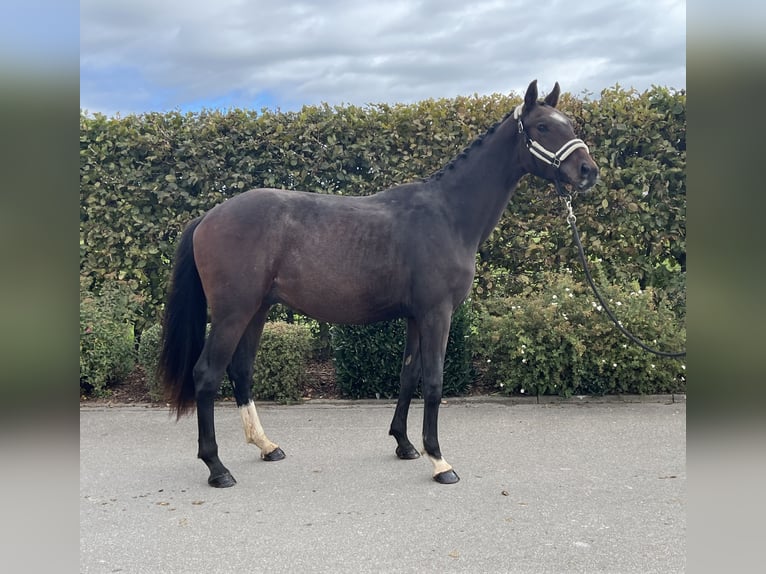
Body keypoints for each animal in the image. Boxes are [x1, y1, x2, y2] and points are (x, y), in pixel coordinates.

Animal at [158, 80, 599, 488]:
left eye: (569, 123)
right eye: (543, 126)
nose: (588, 171)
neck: (448, 215)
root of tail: (209, 216)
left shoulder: (415, 317)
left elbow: (408, 376)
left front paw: (405, 444)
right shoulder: (437, 314)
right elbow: (434, 381)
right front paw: (439, 461)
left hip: (257, 310)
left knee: (241, 371)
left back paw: (267, 446)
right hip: (233, 313)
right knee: (207, 374)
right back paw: (217, 468)